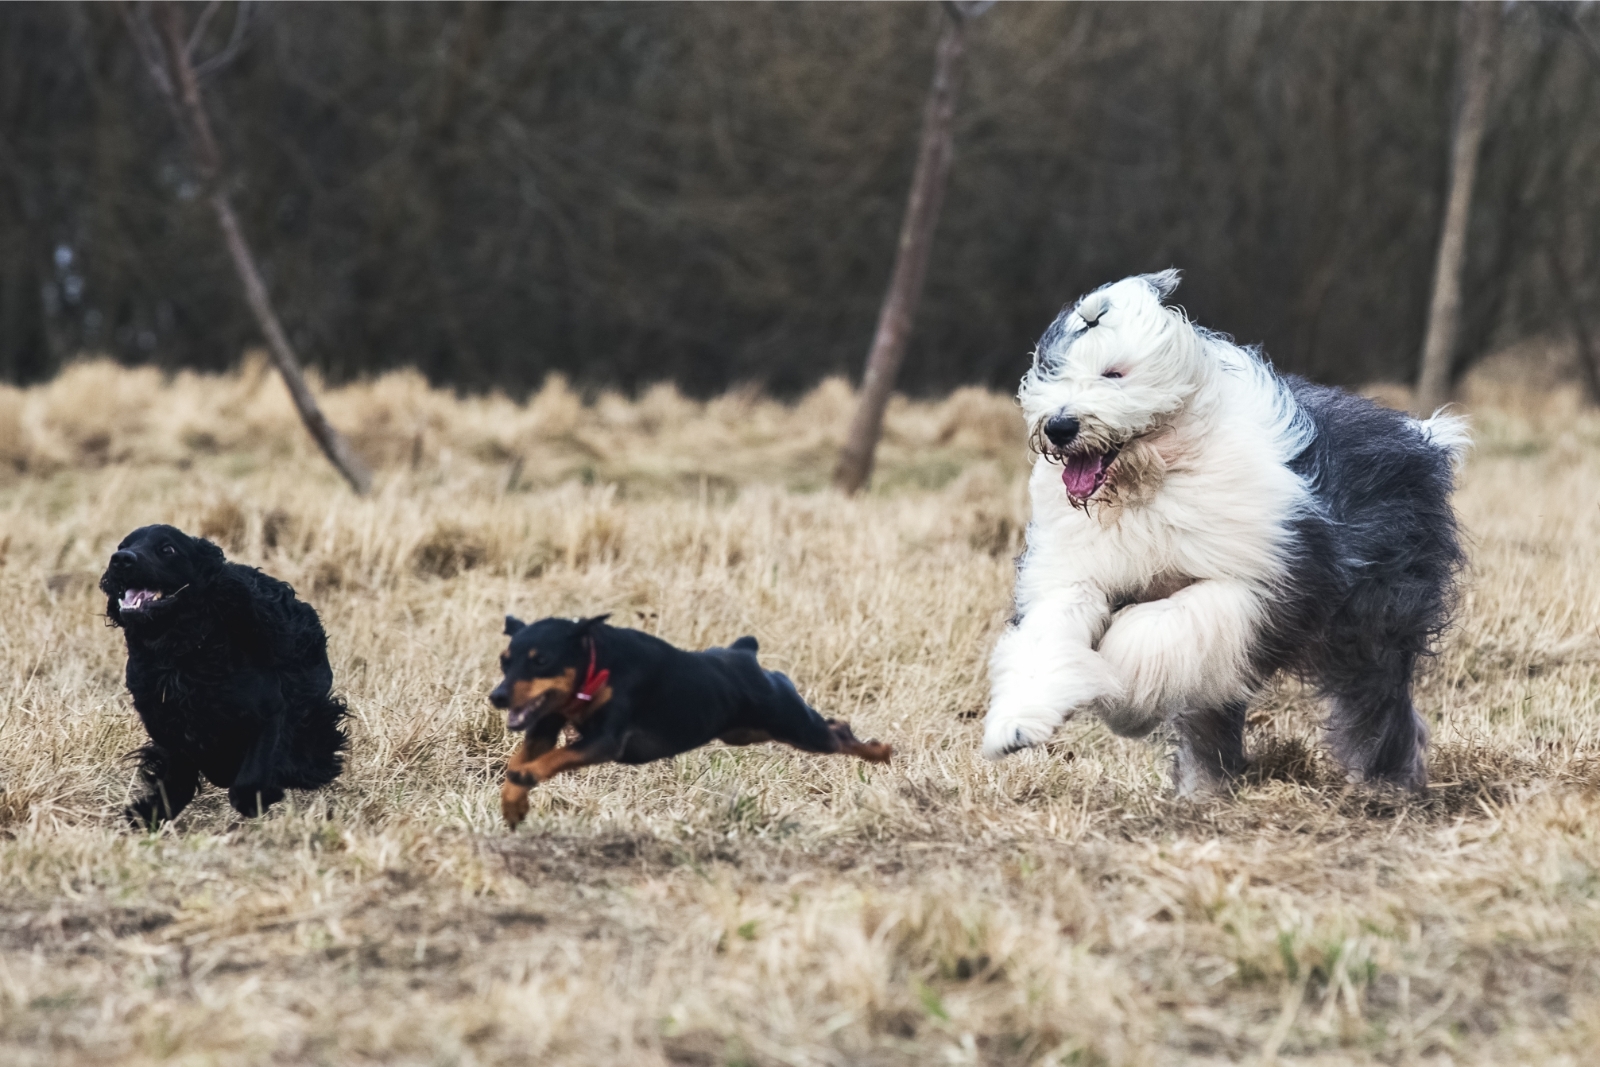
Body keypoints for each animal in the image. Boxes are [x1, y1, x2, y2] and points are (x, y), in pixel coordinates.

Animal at [103, 524, 350, 825]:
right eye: (122, 546)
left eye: (167, 549)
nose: (121, 559)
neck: (181, 655)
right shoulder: (165, 724)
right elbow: (178, 778)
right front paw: (149, 813)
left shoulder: (270, 714)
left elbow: (249, 780)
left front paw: (259, 798)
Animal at [489, 614, 889, 831]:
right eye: (504, 661)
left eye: (541, 660)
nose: (498, 696)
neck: (596, 664)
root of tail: (746, 652)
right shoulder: (544, 725)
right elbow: (520, 763)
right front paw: (514, 805)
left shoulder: (605, 741)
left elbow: (540, 764)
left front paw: (523, 781)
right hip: (746, 732)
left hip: (797, 726)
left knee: (838, 733)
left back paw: (880, 751)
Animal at [979, 271, 1465, 796]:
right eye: (1055, 373)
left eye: (1114, 374)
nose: (1060, 426)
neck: (1154, 477)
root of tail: (1419, 437)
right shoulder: (1075, 571)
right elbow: (1049, 632)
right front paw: (1016, 725)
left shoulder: (1259, 583)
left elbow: (1153, 629)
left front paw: (1123, 698)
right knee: (1212, 708)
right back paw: (1205, 788)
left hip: (1370, 623)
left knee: (1377, 698)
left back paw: (1386, 785)